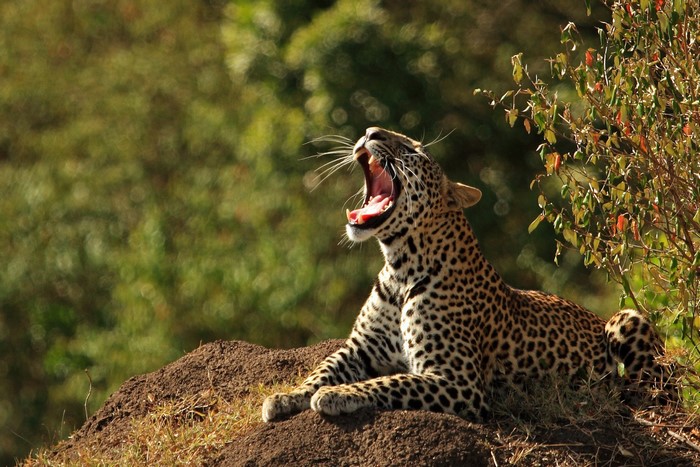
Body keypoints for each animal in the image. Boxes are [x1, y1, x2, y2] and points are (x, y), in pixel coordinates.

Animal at [262, 126, 675, 423]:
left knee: (653, 385)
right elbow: (322, 368)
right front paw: (285, 397)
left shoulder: (456, 381)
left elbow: (388, 381)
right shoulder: (360, 347)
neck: (400, 267)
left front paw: (338, 394)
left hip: (627, 320)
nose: (370, 132)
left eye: (414, 151)